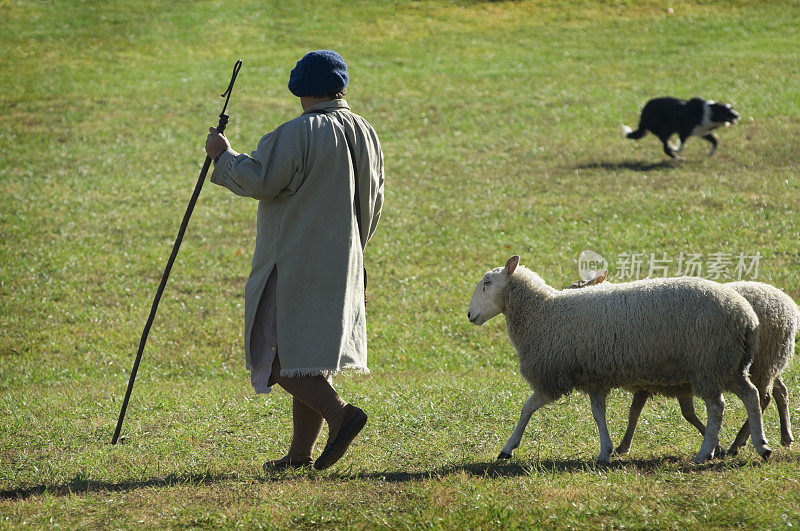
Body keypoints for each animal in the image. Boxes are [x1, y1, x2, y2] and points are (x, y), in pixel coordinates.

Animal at [466, 256, 772, 464]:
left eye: (487, 282)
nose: (469, 315)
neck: (541, 311)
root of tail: (747, 316)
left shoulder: (553, 377)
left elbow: (526, 409)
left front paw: (508, 448)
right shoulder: (593, 376)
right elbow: (598, 413)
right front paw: (606, 450)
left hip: (709, 363)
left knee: (718, 407)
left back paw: (705, 452)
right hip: (730, 364)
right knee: (751, 395)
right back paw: (761, 445)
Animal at [564, 274, 796, 458]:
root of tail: (788, 306)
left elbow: (639, 412)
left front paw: (622, 446)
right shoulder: (652, 380)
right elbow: (642, 411)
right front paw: (623, 445)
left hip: (747, 363)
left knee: (761, 397)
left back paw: (740, 443)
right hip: (764, 364)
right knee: (779, 392)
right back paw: (784, 436)